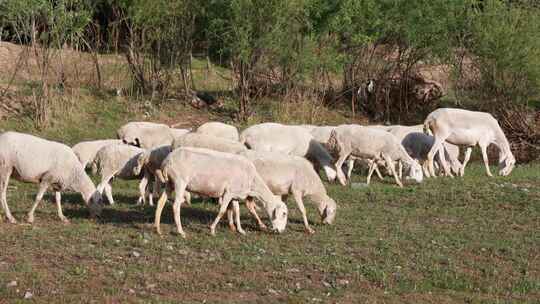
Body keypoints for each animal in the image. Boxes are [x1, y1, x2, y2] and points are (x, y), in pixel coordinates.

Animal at [154, 147, 288, 238]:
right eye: (284, 214)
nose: (281, 231)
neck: (252, 181)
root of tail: (167, 161)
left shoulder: (235, 195)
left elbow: (237, 212)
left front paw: (240, 230)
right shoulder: (228, 193)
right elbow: (222, 210)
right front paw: (212, 229)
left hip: (169, 183)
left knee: (161, 202)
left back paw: (158, 229)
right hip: (179, 182)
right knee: (176, 206)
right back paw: (181, 232)